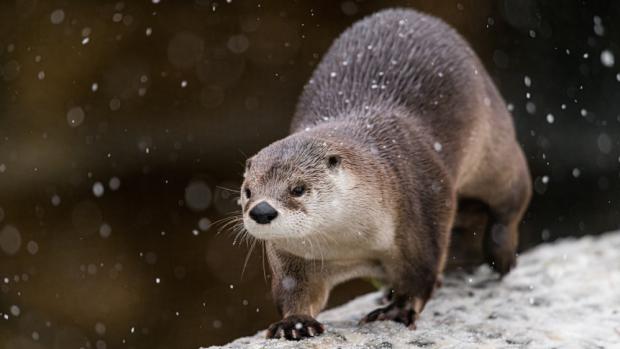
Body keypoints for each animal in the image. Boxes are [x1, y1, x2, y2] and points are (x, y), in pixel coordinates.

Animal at [240, 8, 532, 340]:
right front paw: (295, 322)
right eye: (248, 191)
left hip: (496, 151)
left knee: (513, 196)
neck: (350, 245)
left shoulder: (420, 203)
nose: (262, 211)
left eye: (298, 188)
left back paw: (502, 256)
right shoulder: (291, 256)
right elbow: (293, 290)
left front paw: (397, 310)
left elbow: (420, 274)